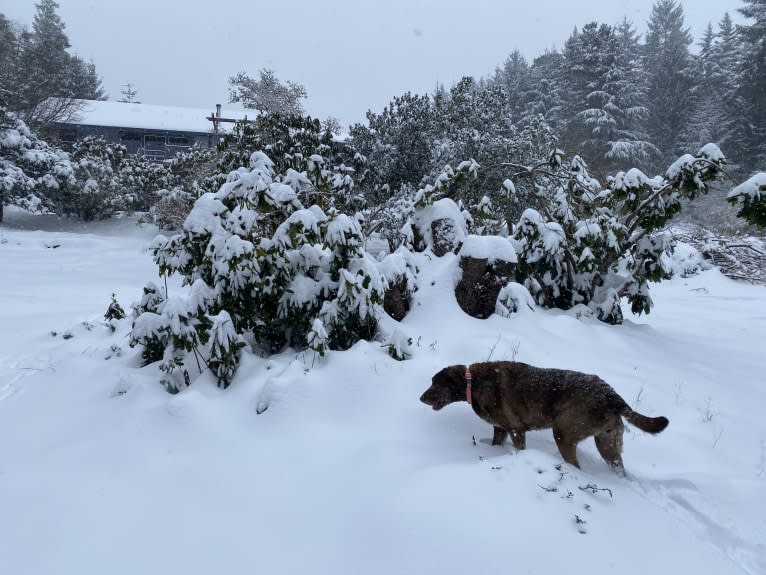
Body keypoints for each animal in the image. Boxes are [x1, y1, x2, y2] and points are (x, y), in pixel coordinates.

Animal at [420, 362, 672, 474]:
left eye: (436, 383)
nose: (421, 398)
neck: (473, 383)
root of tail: (611, 393)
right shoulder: (500, 429)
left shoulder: (515, 430)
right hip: (607, 442)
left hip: (564, 432)